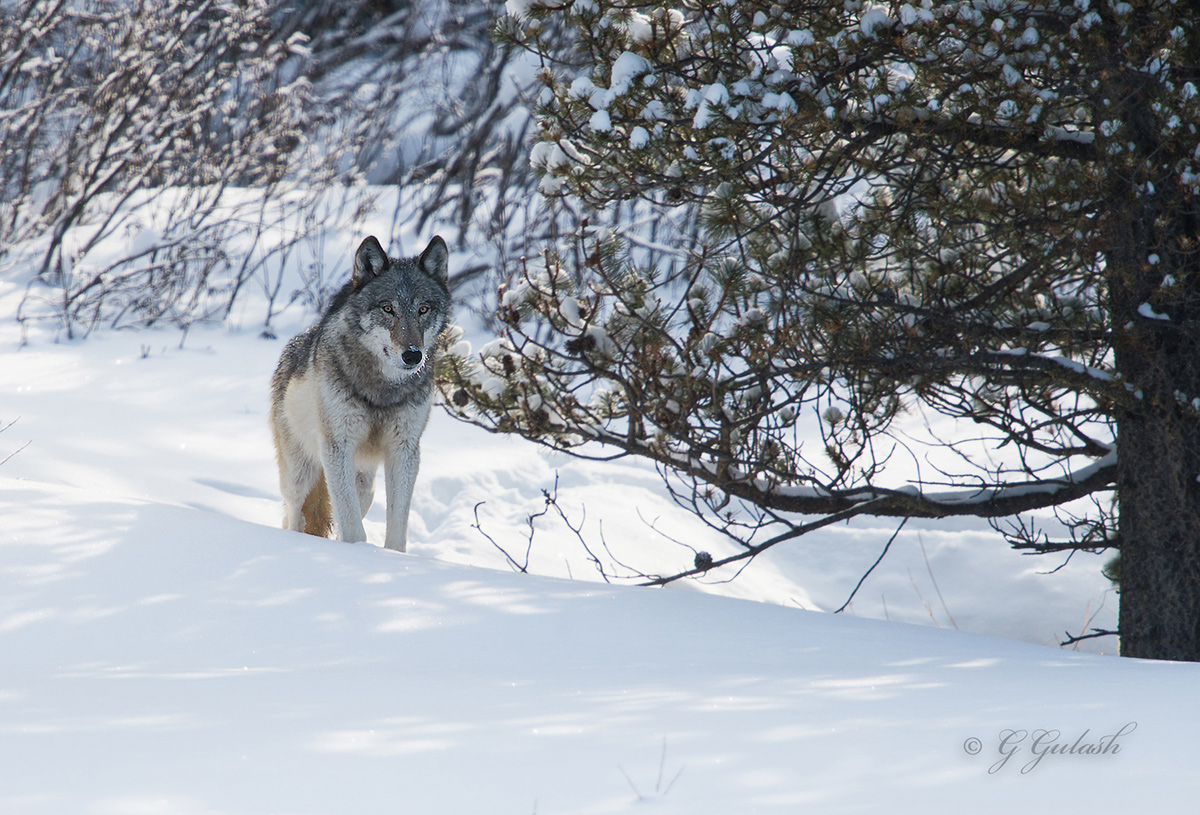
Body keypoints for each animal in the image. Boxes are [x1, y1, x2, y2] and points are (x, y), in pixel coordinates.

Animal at [270, 235, 452, 552]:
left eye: (423, 310)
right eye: (388, 308)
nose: (412, 355)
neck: (382, 390)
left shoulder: (403, 450)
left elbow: (396, 527)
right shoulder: (337, 446)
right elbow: (353, 528)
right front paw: (356, 553)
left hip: (365, 484)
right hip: (300, 474)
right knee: (294, 515)